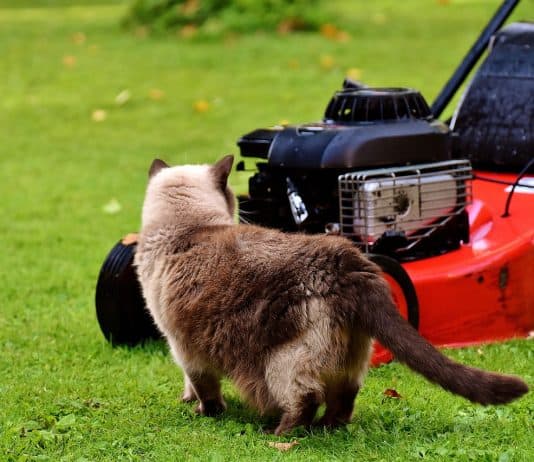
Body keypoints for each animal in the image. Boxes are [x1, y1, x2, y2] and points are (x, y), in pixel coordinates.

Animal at [135, 157, 532, 434]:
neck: (186, 228)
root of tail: (348, 261)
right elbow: (193, 385)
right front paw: (189, 401)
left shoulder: (182, 345)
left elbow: (203, 387)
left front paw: (203, 411)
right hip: (351, 355)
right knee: (345, 397)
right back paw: (329, 428)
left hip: (282, 361)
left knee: (306, 397)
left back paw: (281, 435)